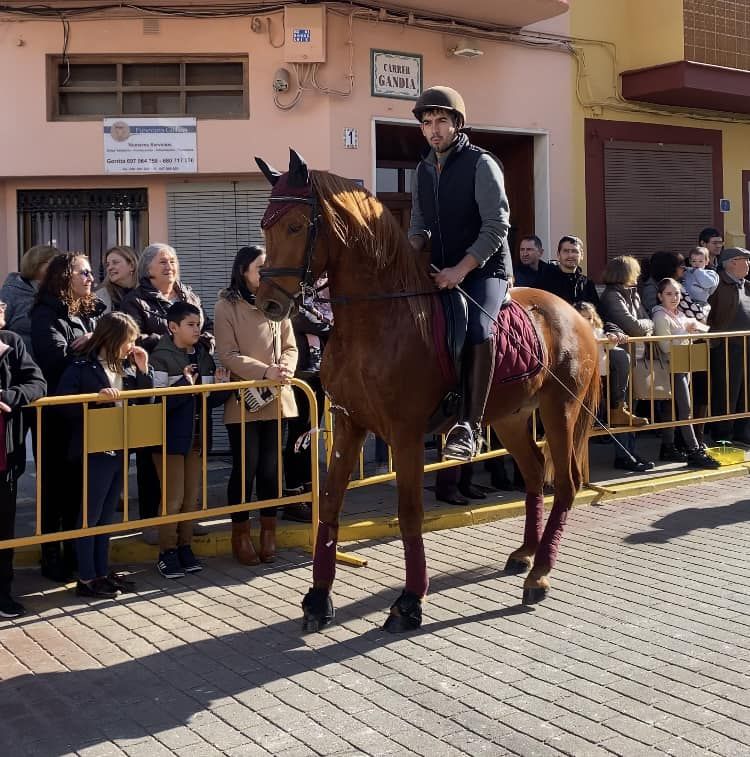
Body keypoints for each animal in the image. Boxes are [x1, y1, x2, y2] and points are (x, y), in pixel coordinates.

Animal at [258, 149, 600, 632]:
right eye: (264, 225)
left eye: (294, 225)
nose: (267, 303)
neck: (377, 321)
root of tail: (574, 315)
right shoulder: (348, 423)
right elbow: (330, 504)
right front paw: (318, 598)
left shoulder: (405, 434)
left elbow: (409, 513)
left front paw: (409, 601)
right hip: (511, 417)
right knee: (535, 473)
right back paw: (526, 553)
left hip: (561, 411)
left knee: (566, 483)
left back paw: (540, 574)